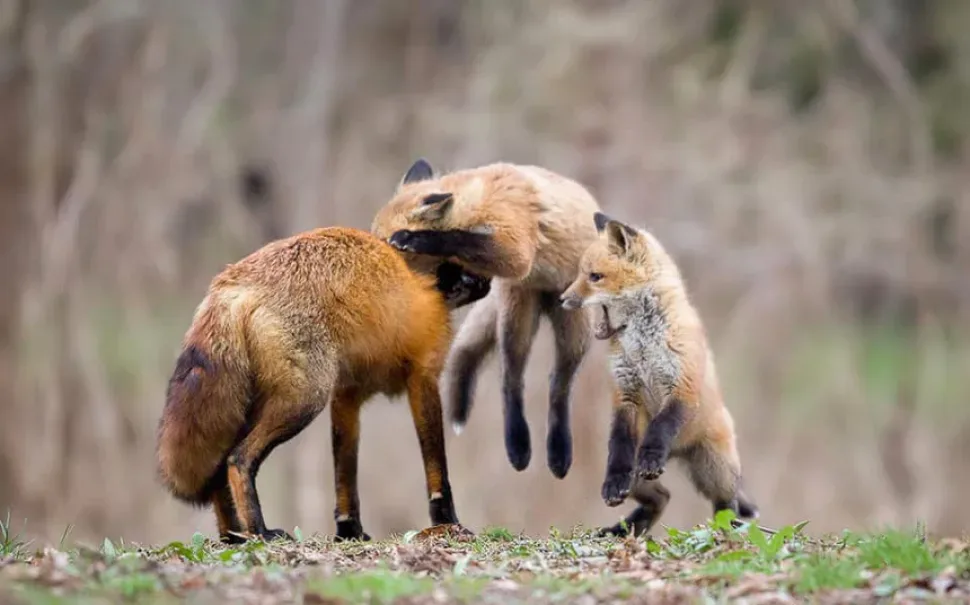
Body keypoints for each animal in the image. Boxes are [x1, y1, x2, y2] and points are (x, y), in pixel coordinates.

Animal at [155, 225, 490, 544]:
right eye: (467, 260)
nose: (489, 280)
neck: (420, 282)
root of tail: (229, 284)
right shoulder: (423, 378)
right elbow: (437, 467)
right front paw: (448, 522)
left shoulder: (346, 394)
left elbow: (345, 474)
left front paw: (348, 532)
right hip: (304, 401)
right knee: (238, 460)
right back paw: (260, 532)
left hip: (250, 408)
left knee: (218, 473)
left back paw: (233, 537)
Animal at [370, 158, 602, 479]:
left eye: (382, 242)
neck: (478, 201)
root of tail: (546, 292)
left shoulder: (514, 246)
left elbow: (458, 238)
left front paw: (417, 238)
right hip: (516, 318)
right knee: (511, 378)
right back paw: (518, 443)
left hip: (574, 332)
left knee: (559, 385)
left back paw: (556, 450)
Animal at [560, 212, 759, 537]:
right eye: (580, 273)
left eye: (595, 276)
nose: (562, 299)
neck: (643, 339)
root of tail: (677, 452)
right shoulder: (625, 392)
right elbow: (620, 445)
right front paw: (614, 480)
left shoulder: (681, 385)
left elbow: (662, 426)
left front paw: (651, 455)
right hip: (639, 483)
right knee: (662, 497)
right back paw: (626, 528)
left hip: (715, 470)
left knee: (727, 503)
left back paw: (724, 529)